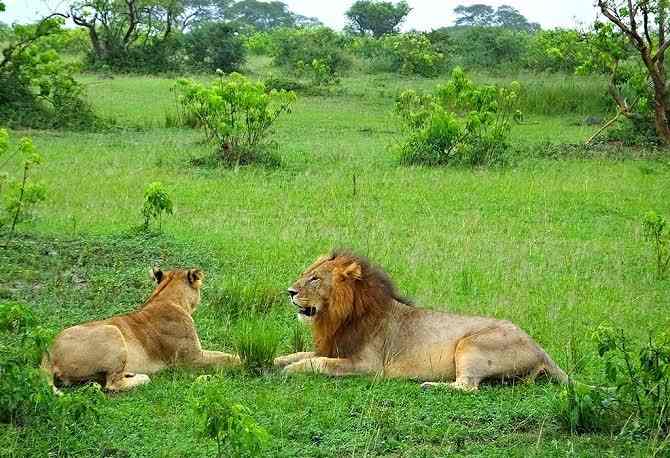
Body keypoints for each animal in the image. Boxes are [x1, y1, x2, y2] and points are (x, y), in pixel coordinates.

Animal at [41, 268, 240, 392]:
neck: (166, 297)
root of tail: (49, 354)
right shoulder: (190, 360)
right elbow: (226, 358)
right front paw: (244, 361)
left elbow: (223, 353)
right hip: (112, 330)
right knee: (112, 384)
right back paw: (143, 377)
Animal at [274, 251, 568, 391]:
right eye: (306, 274)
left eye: (315, 279)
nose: (289, 292)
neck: (338, 317)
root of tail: (540, 348)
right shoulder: (333, 346)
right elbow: (299, 354)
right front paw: (279, 361)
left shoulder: (369, 366)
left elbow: (320, 363)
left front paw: (292, 369)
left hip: (470, 345)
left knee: (468, 386)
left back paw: (429, 385)